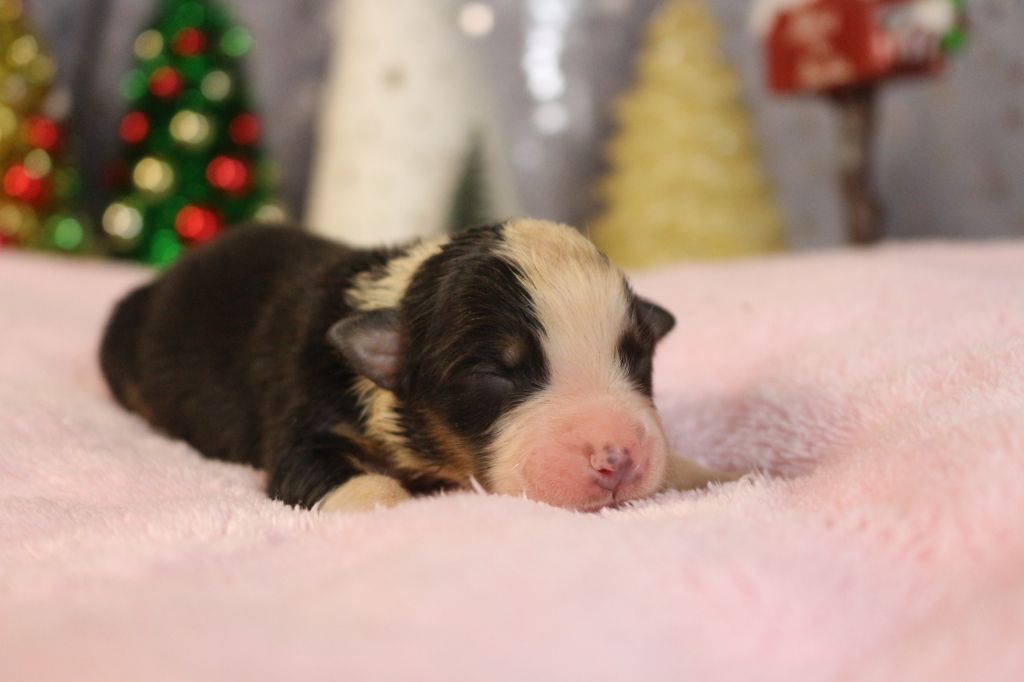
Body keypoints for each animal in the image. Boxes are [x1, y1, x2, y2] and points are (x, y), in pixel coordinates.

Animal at [99, 218, 733, 509]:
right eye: (495, 373)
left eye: (637, 358)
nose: (617, 457)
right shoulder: (305, 422)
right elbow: (354, 481)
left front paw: (716, 473)